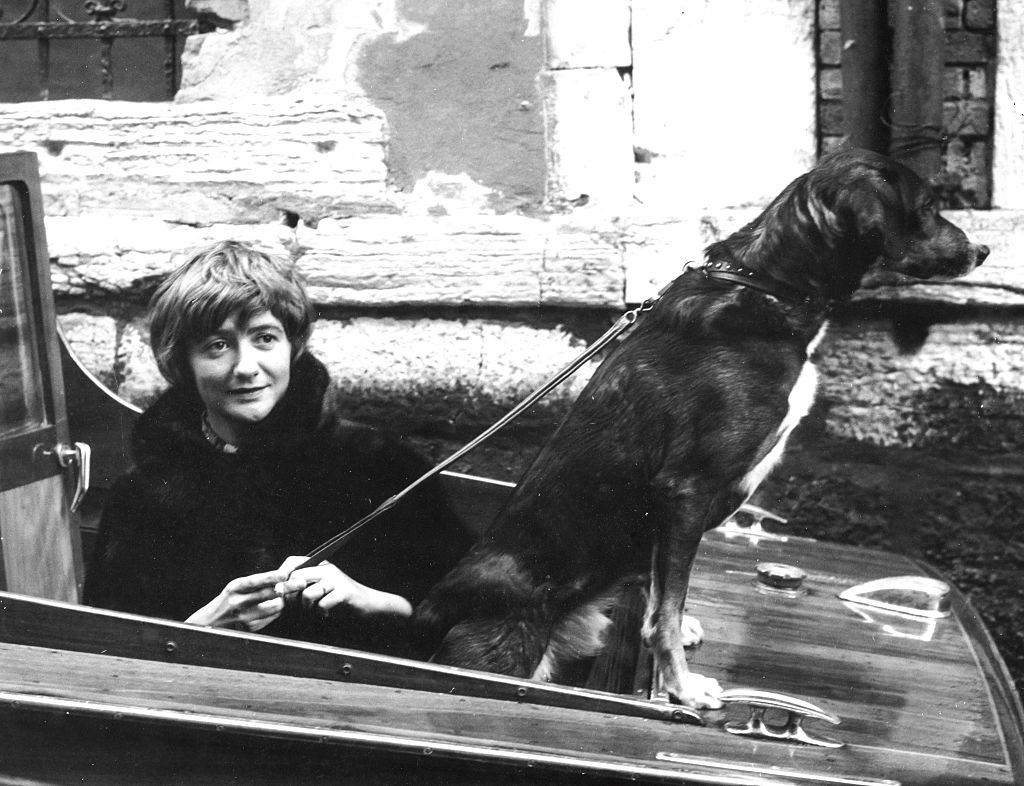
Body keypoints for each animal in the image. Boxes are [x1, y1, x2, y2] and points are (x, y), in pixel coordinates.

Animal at [411, 145, 987, 704]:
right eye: (928, 207)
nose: (983, 251)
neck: (770, 288)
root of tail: (426, 614)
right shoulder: (686, 488)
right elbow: (668, 602)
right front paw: (682, 687)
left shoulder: (670, 515)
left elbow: (662, 591)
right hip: (505, 651)